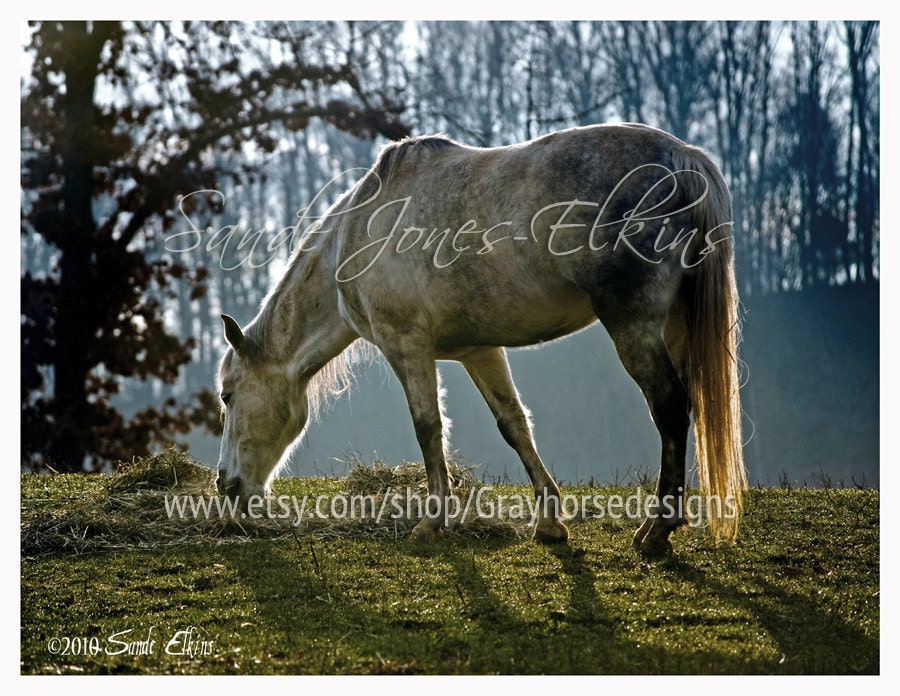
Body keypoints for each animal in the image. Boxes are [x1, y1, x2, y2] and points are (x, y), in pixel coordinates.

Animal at [215, 123, 746, 557]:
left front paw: (432, 523)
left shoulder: (406, 346)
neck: (356, 238)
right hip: (673, 325)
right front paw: (549, 522)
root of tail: (682, 158)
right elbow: (514, 424)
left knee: (670, 407)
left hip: (632, 325)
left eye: (227, 396)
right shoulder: (480, 351)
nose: (227, 484)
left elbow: (428, 427)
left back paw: (657, 531)